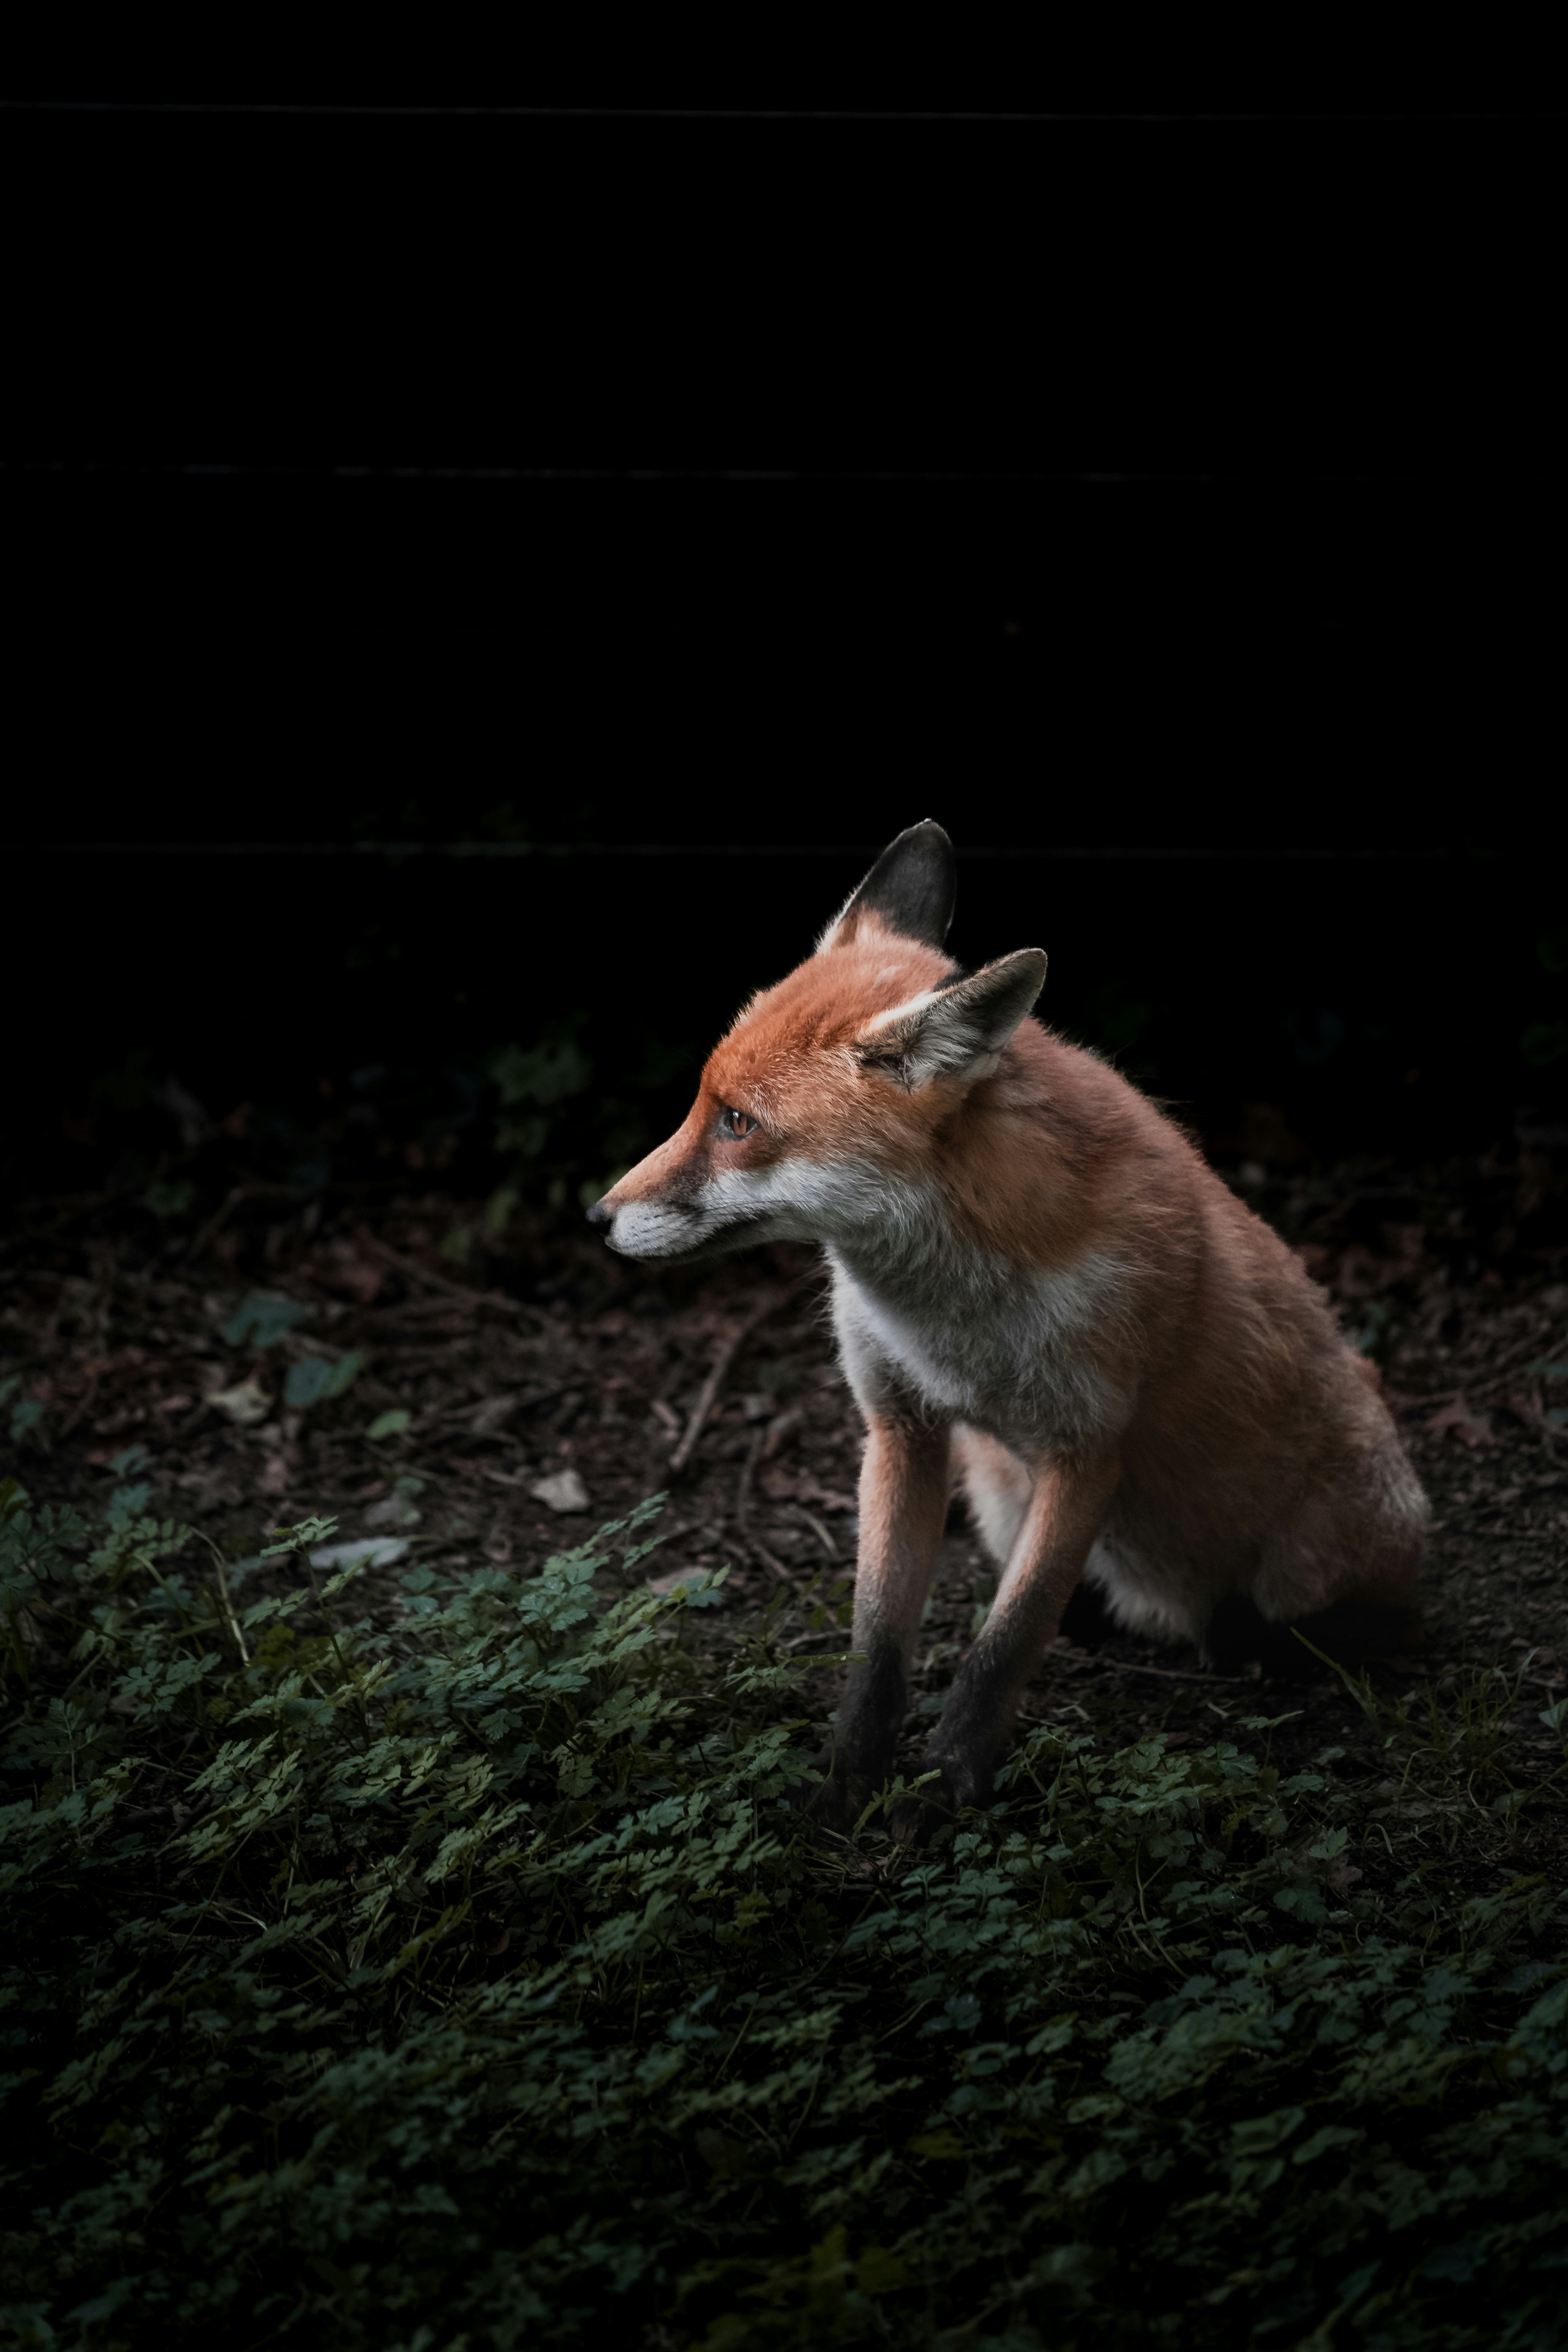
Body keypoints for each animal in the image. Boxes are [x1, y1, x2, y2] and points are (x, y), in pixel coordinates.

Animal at [588, 821, 1428, 1837]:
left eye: (739, 1123)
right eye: (701, 1106)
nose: (596, 1216)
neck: (952, 1318)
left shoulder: (1087, 1448)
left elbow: (1005, 1644)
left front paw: (947, 1786)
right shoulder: (900, 1427)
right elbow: (878, 1641)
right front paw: (849, 1779)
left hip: (1326, 1552)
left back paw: (1252, 1641)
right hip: (993, 1493)